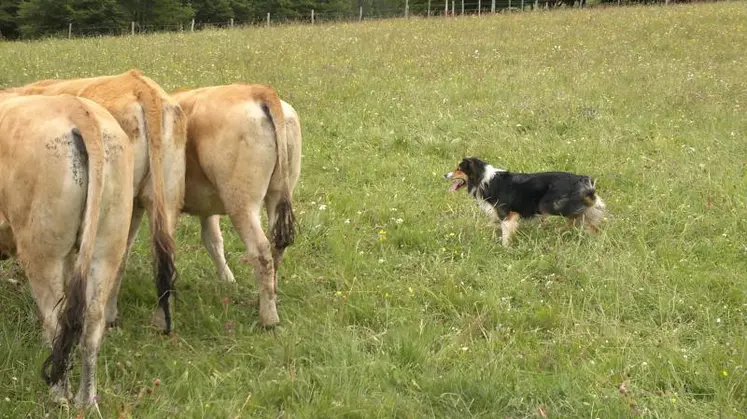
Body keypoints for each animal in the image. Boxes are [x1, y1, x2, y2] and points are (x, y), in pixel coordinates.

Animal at [0, 92, 133, 406]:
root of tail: (78, 109)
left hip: (41, 252)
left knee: (57, 320)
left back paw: (59, 396)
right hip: (107, 247)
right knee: (91, 322)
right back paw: (87, 400)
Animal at [168, 85, 302, 328]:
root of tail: (257, 90)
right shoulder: (206, 209)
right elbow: (213, 240)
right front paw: (228, 280)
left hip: (241, 202)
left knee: (261, 251)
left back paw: (268, 318)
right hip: (278, 193)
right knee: (276, 247)